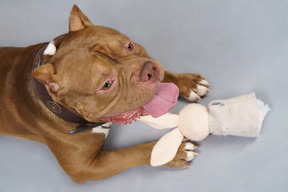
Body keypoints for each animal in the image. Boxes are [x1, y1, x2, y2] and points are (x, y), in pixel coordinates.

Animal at [0, 5, 209, 184]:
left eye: (129, 46)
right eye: (106, 85)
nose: (148, 70)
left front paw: (188, 83)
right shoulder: (85, 168)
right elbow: (129, 153)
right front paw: (171, 151)